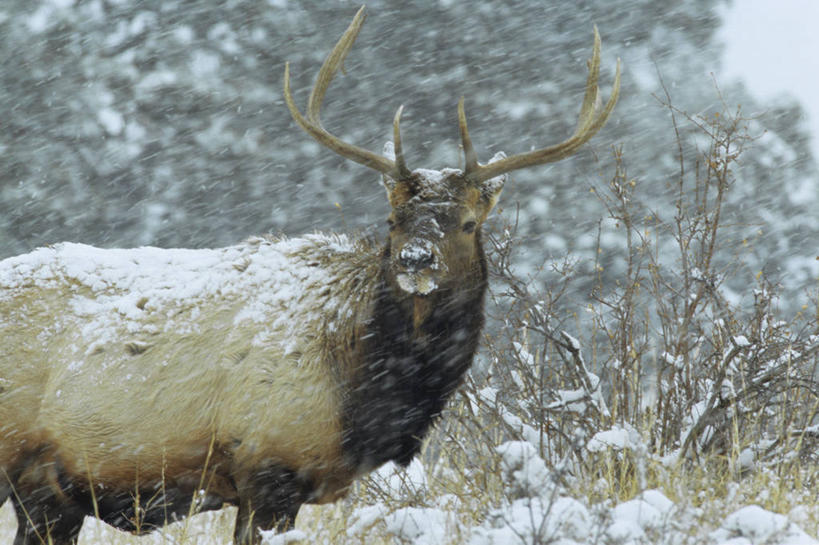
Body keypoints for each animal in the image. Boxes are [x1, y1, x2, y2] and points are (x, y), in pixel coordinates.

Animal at [0, 5, 616, 544]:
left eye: (467, 223)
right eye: (391, 219)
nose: (415, 259)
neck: (362, 392)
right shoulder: (267, 464)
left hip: (46, 490)